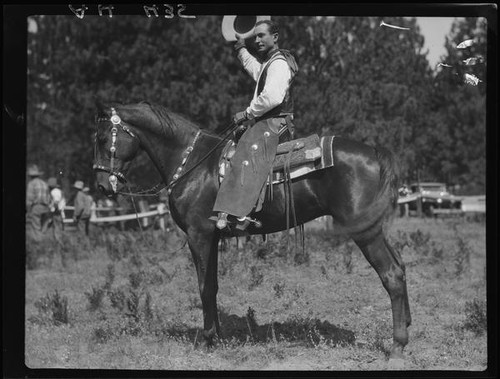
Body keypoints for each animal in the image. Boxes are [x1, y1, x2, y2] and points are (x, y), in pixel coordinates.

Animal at [93, 100, 410, 366]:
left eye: (102, 139)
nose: (102, 186)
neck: (193, 163)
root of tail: (375, 153)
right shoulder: (213, 238)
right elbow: (213, 285)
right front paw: (218, 336)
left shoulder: (199, 236)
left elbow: (204, 287)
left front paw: (207, 340)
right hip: (374, 229)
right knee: (400, 267)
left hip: (365, 232)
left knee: (391, 274)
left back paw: (397, 346)